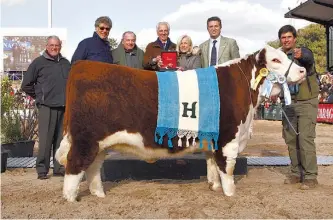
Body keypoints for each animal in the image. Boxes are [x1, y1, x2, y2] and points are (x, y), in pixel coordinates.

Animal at [55, 45, 304, 202]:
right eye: (275, 60)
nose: (302, 70)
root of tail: (83, 66)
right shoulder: (229, 138)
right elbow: (227, 167)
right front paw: (230, 193)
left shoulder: (212, 138)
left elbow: (212, 164)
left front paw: (214, 186)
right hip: (85, 139)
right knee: (75, 165)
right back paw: (70, 199)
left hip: (99, 142)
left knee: (94, 167)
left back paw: (98, 194)